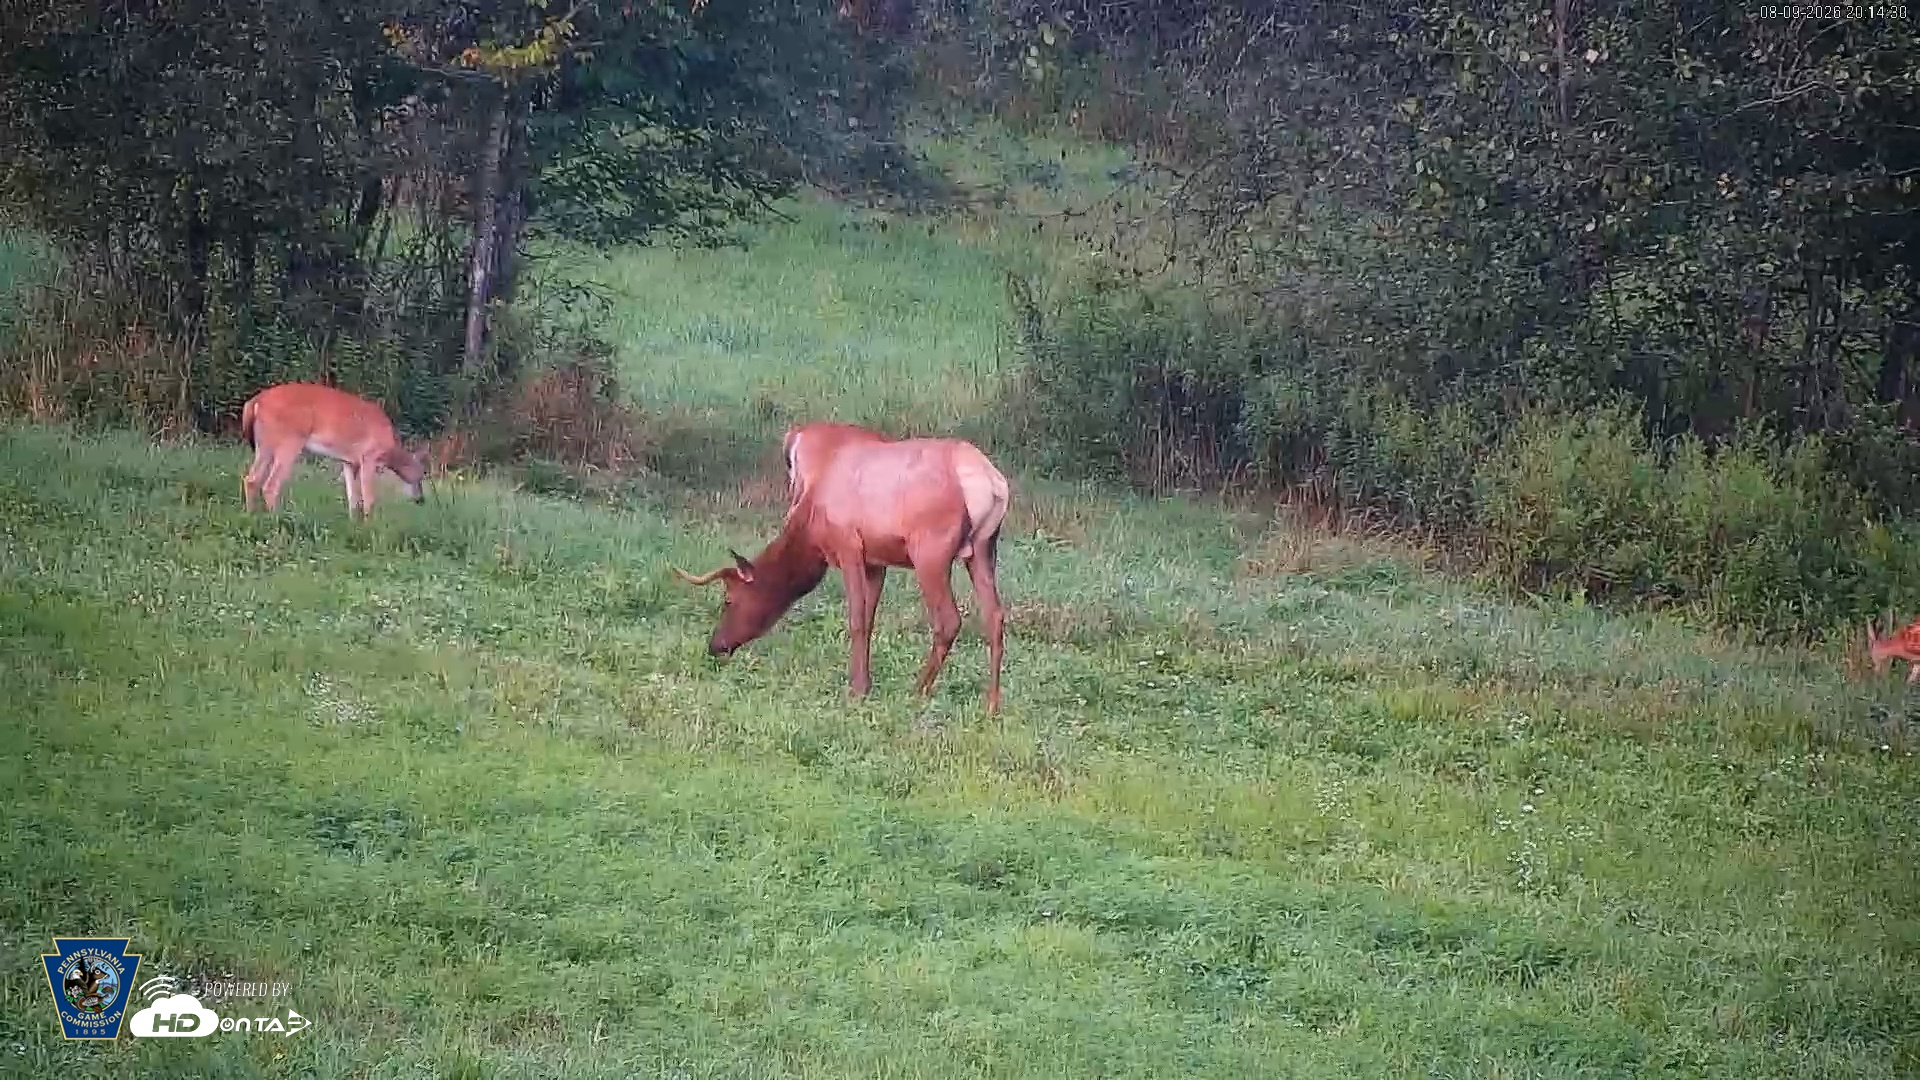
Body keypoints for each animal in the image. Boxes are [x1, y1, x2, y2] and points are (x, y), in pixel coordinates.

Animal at [240, 382, 426, 519]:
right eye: (422, 475)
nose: (421, 499)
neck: (390, 449)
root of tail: (255, 401)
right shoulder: (369, 456)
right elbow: (368, 498)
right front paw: (369, 526)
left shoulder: (349, 462)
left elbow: (352, 498)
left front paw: (354, 525)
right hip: (290, 441)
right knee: (270, 485)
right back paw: (276, 519)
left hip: (263, 444)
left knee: (251, 479)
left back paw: (251, 515)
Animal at [675, 434, 1011, 713]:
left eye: (729, 599)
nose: (715, 645)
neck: (811, 523)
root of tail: (992, 484)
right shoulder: (876, 562)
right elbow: (871, 621)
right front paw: (865, 683)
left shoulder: (848, 547)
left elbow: (857, 621)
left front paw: (857, 689)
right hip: (983, 548)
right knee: (995, 616)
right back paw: (992, 704)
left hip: (930, 552)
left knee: (949, 620)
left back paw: (918, 689)